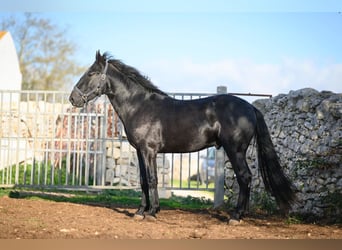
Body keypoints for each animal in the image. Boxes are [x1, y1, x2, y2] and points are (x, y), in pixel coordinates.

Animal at [69, 51, 294, 223]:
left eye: (92, 73)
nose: (73, 98)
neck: (140, 106)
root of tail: (249, 108)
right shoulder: (140, 151)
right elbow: (143, 180)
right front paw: (141, 211)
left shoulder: (149, 151)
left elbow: (152, 179)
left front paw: (152, 212)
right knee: (246, 178)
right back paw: (242, 214)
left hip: (235, 150)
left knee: (245, 177)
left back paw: (236, 216)